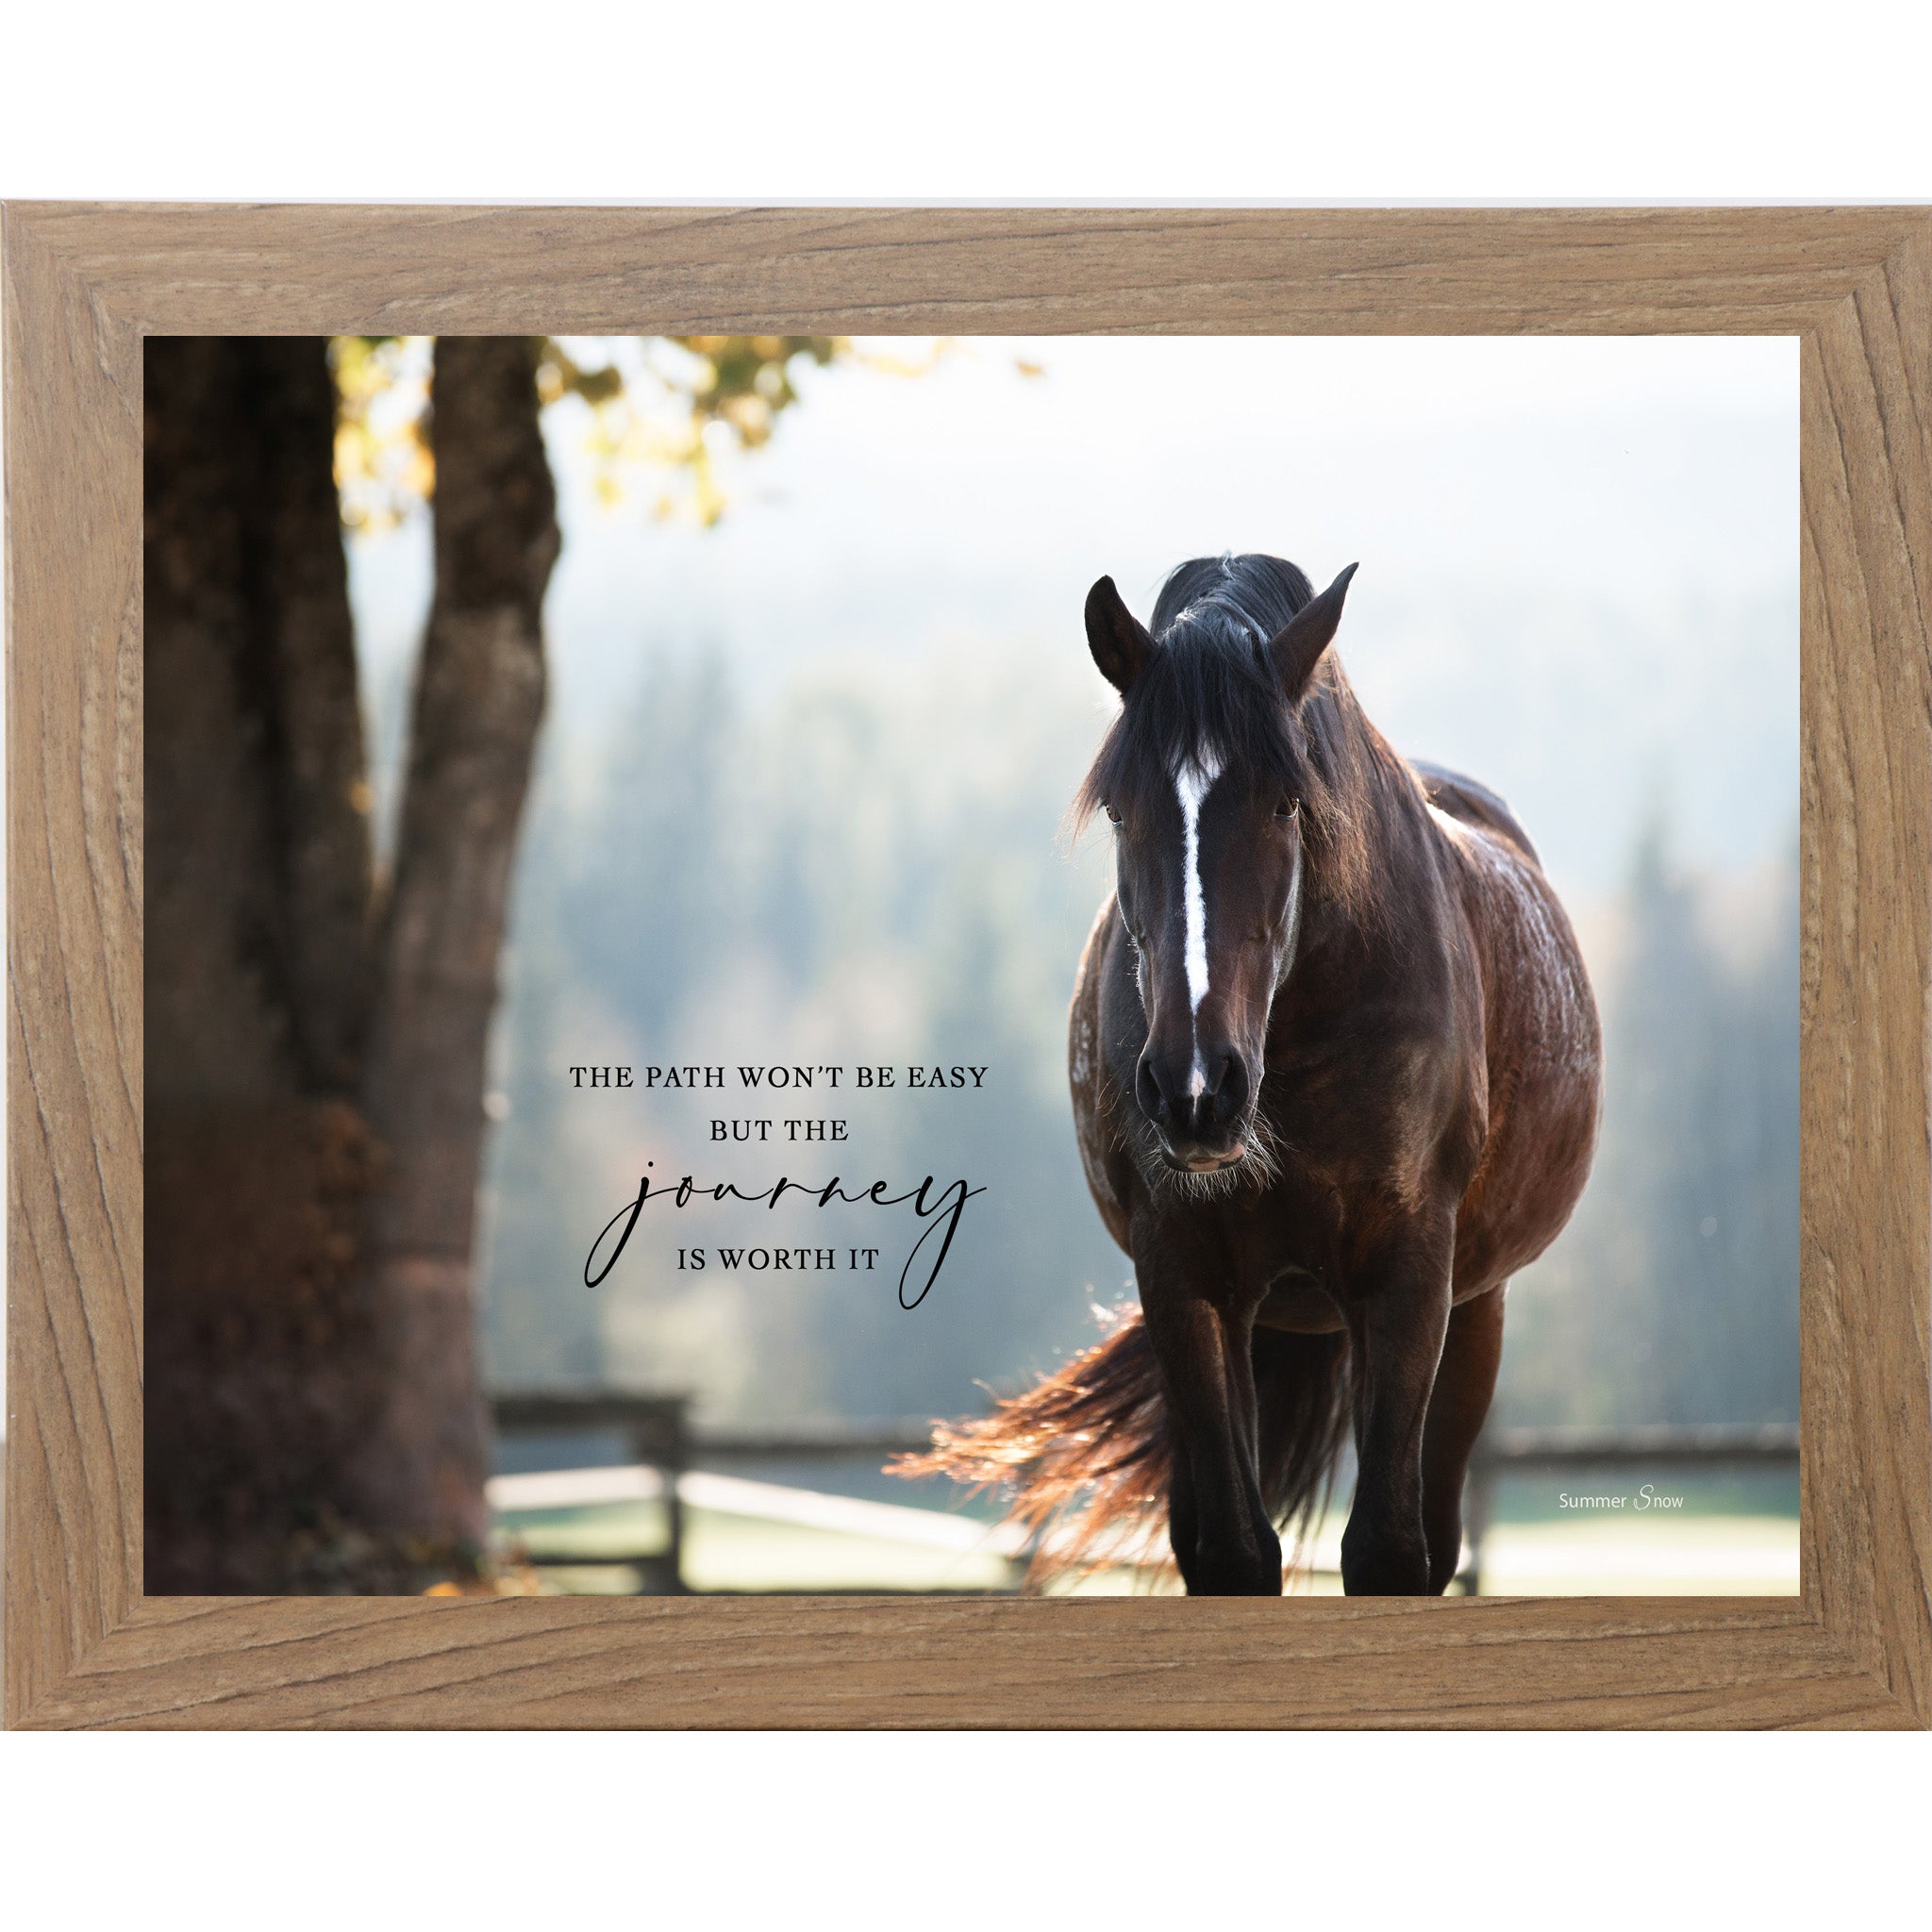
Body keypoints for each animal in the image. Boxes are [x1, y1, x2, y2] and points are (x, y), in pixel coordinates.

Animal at [902, 553, 1602, 1595]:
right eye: (1122, 809)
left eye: (1285, 801)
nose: (1195, 1089)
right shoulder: (1184, 1280)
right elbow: (1232, 1551)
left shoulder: (1409, 1279)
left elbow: (1388, 1550)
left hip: (1476, 1310)